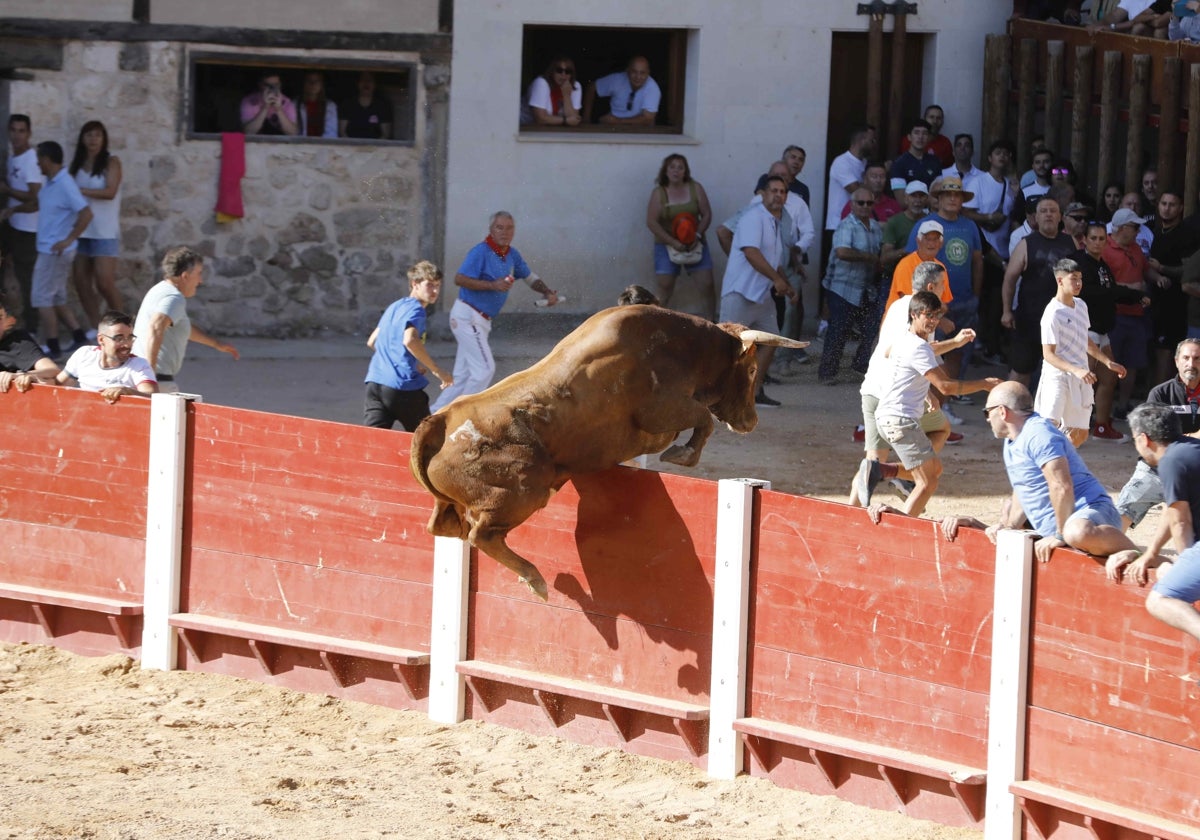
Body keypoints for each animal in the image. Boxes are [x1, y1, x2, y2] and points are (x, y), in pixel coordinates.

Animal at [410, 304, 806, 600]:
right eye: (752, 370)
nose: (750, 421)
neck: (684, 348)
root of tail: (439, 421)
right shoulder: (661, 409)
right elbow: (703, 419)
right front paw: (682, 456)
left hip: (463, 503)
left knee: (445, 527)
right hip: (522, 493)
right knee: (482, 535)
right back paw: (536, 580)